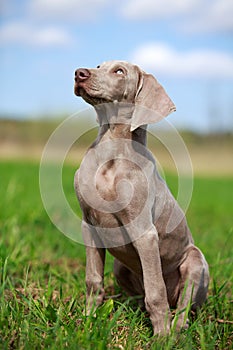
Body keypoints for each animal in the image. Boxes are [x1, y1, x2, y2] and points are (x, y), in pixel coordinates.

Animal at [73, 60, 209, 336]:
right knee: (142, 296)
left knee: (181, 305)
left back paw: (176, 329)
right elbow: (93, 280)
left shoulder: (144, 233)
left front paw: (161, 336)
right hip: (120, 267)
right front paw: (88, 321)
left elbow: (155, 293)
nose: (79, 73)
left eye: (119, 71)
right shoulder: (88, 224)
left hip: (196, 262)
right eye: (98, 65)